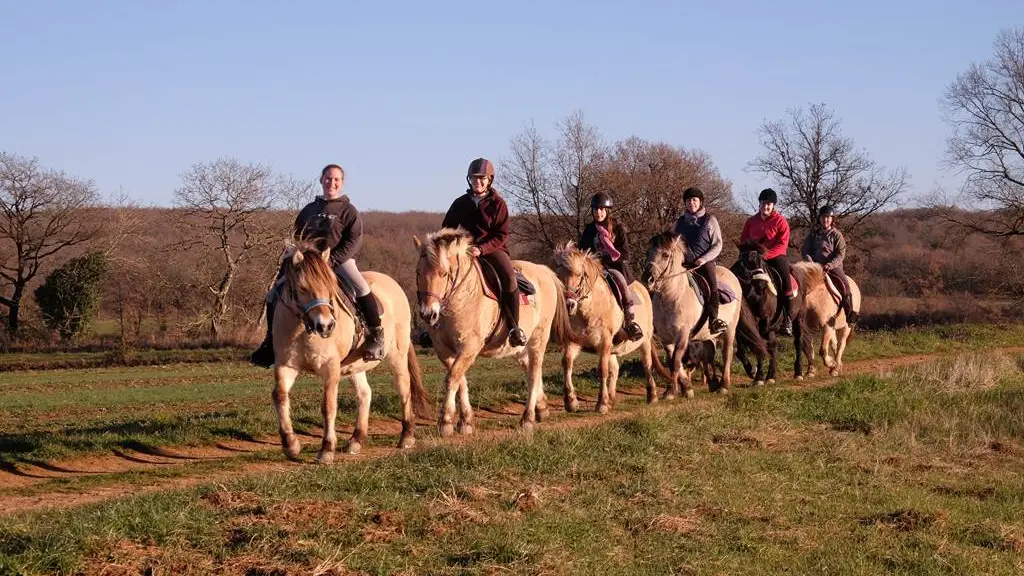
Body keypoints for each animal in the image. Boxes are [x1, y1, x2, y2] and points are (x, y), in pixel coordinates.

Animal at [269, 240, 432, 464]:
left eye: (330, 287)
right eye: (302, 288)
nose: (326, 326)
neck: (302, 328)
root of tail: (392, 283)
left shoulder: (330, 367)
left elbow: (328, 406)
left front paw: (327, 449)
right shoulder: (286, 365)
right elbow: (280, 396)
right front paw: (291, 444)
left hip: (396, 356)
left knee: (403, 388)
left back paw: (406, 436)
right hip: (355, 366)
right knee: (365, 394)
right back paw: (356, 439)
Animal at [413, 228, 577, 436]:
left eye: (444, 273)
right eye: (418, 272)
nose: (428, 314)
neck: (461, 298)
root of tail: (544, 272)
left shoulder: (469, 347)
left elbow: (452, 378)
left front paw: (446, 421)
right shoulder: (445, 351)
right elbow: (460, 380)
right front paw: (465, 421)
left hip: (539, 338)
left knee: (534, 372)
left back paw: (528, 418)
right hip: (520, 347)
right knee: (529, 368)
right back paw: (542, 408)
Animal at [551, 242, 672, 413]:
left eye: (579, 275)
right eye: (558, 276)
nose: (569, 305)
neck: (589, 310)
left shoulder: (604, 342)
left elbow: (602, 370)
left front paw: (601, 404)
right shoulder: (573, 342)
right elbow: (567, 363)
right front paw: (571, 402)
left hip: (645, 341)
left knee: (647, 364)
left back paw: (652, 396)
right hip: (614, 348)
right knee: (615, 369)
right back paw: (611, 399)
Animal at [641, 232, 742, 398]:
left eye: (665, 255)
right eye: (648, 252)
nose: (647, 279)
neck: (673, 296)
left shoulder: (682, 332)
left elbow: (676, 361)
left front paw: (671, 391)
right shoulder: (666, 338)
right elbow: (673, 362)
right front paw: (685, 388)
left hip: (730, 329)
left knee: (727, 354)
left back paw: (724, 386)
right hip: (708, 335)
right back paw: (713, 383)